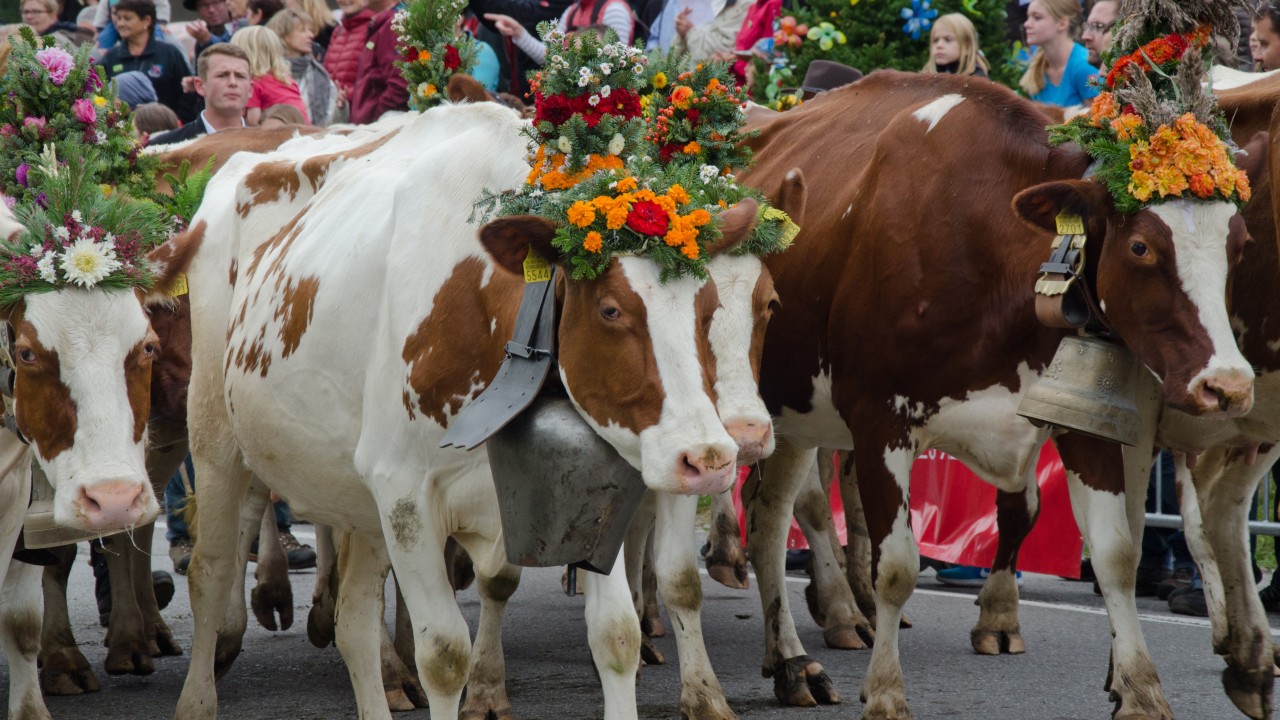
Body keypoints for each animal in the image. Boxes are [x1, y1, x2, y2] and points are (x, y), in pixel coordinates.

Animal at [154, 102, 762, 717]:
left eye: (708, 306)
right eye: (611, 309)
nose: (708, 458)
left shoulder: (591, 496)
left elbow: (616, 635)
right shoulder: (406, 494)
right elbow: (444, 656)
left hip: (357, 496)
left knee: (354, 622)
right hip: (216, 439)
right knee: (210, 571)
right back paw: (196, 698)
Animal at [737, 68, 1254, 717]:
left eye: (1240, 243)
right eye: (1141, 247)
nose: (1228, 384)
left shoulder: (1079, 418)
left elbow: (1115, 554)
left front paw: (1140, 689)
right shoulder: (879, 419)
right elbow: (896, 568)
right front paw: (885, 691)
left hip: (791, 418)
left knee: (767, 517)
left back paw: (790, 665)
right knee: (780, 517)